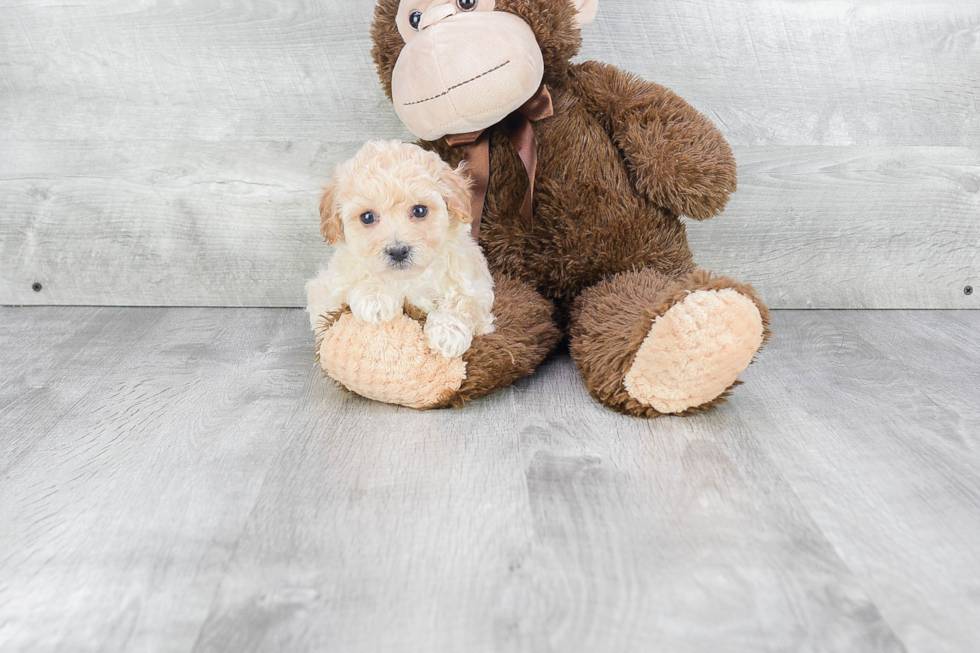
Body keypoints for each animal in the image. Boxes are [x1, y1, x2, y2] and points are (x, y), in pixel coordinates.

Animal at [306, 139, 494, 360]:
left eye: (420, 210)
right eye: (367, 217)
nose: (398, 251)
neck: (408, 279)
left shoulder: (476, 285)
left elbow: (463, 300)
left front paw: (447, 333)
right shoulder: (331, 290)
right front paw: (375, 298)